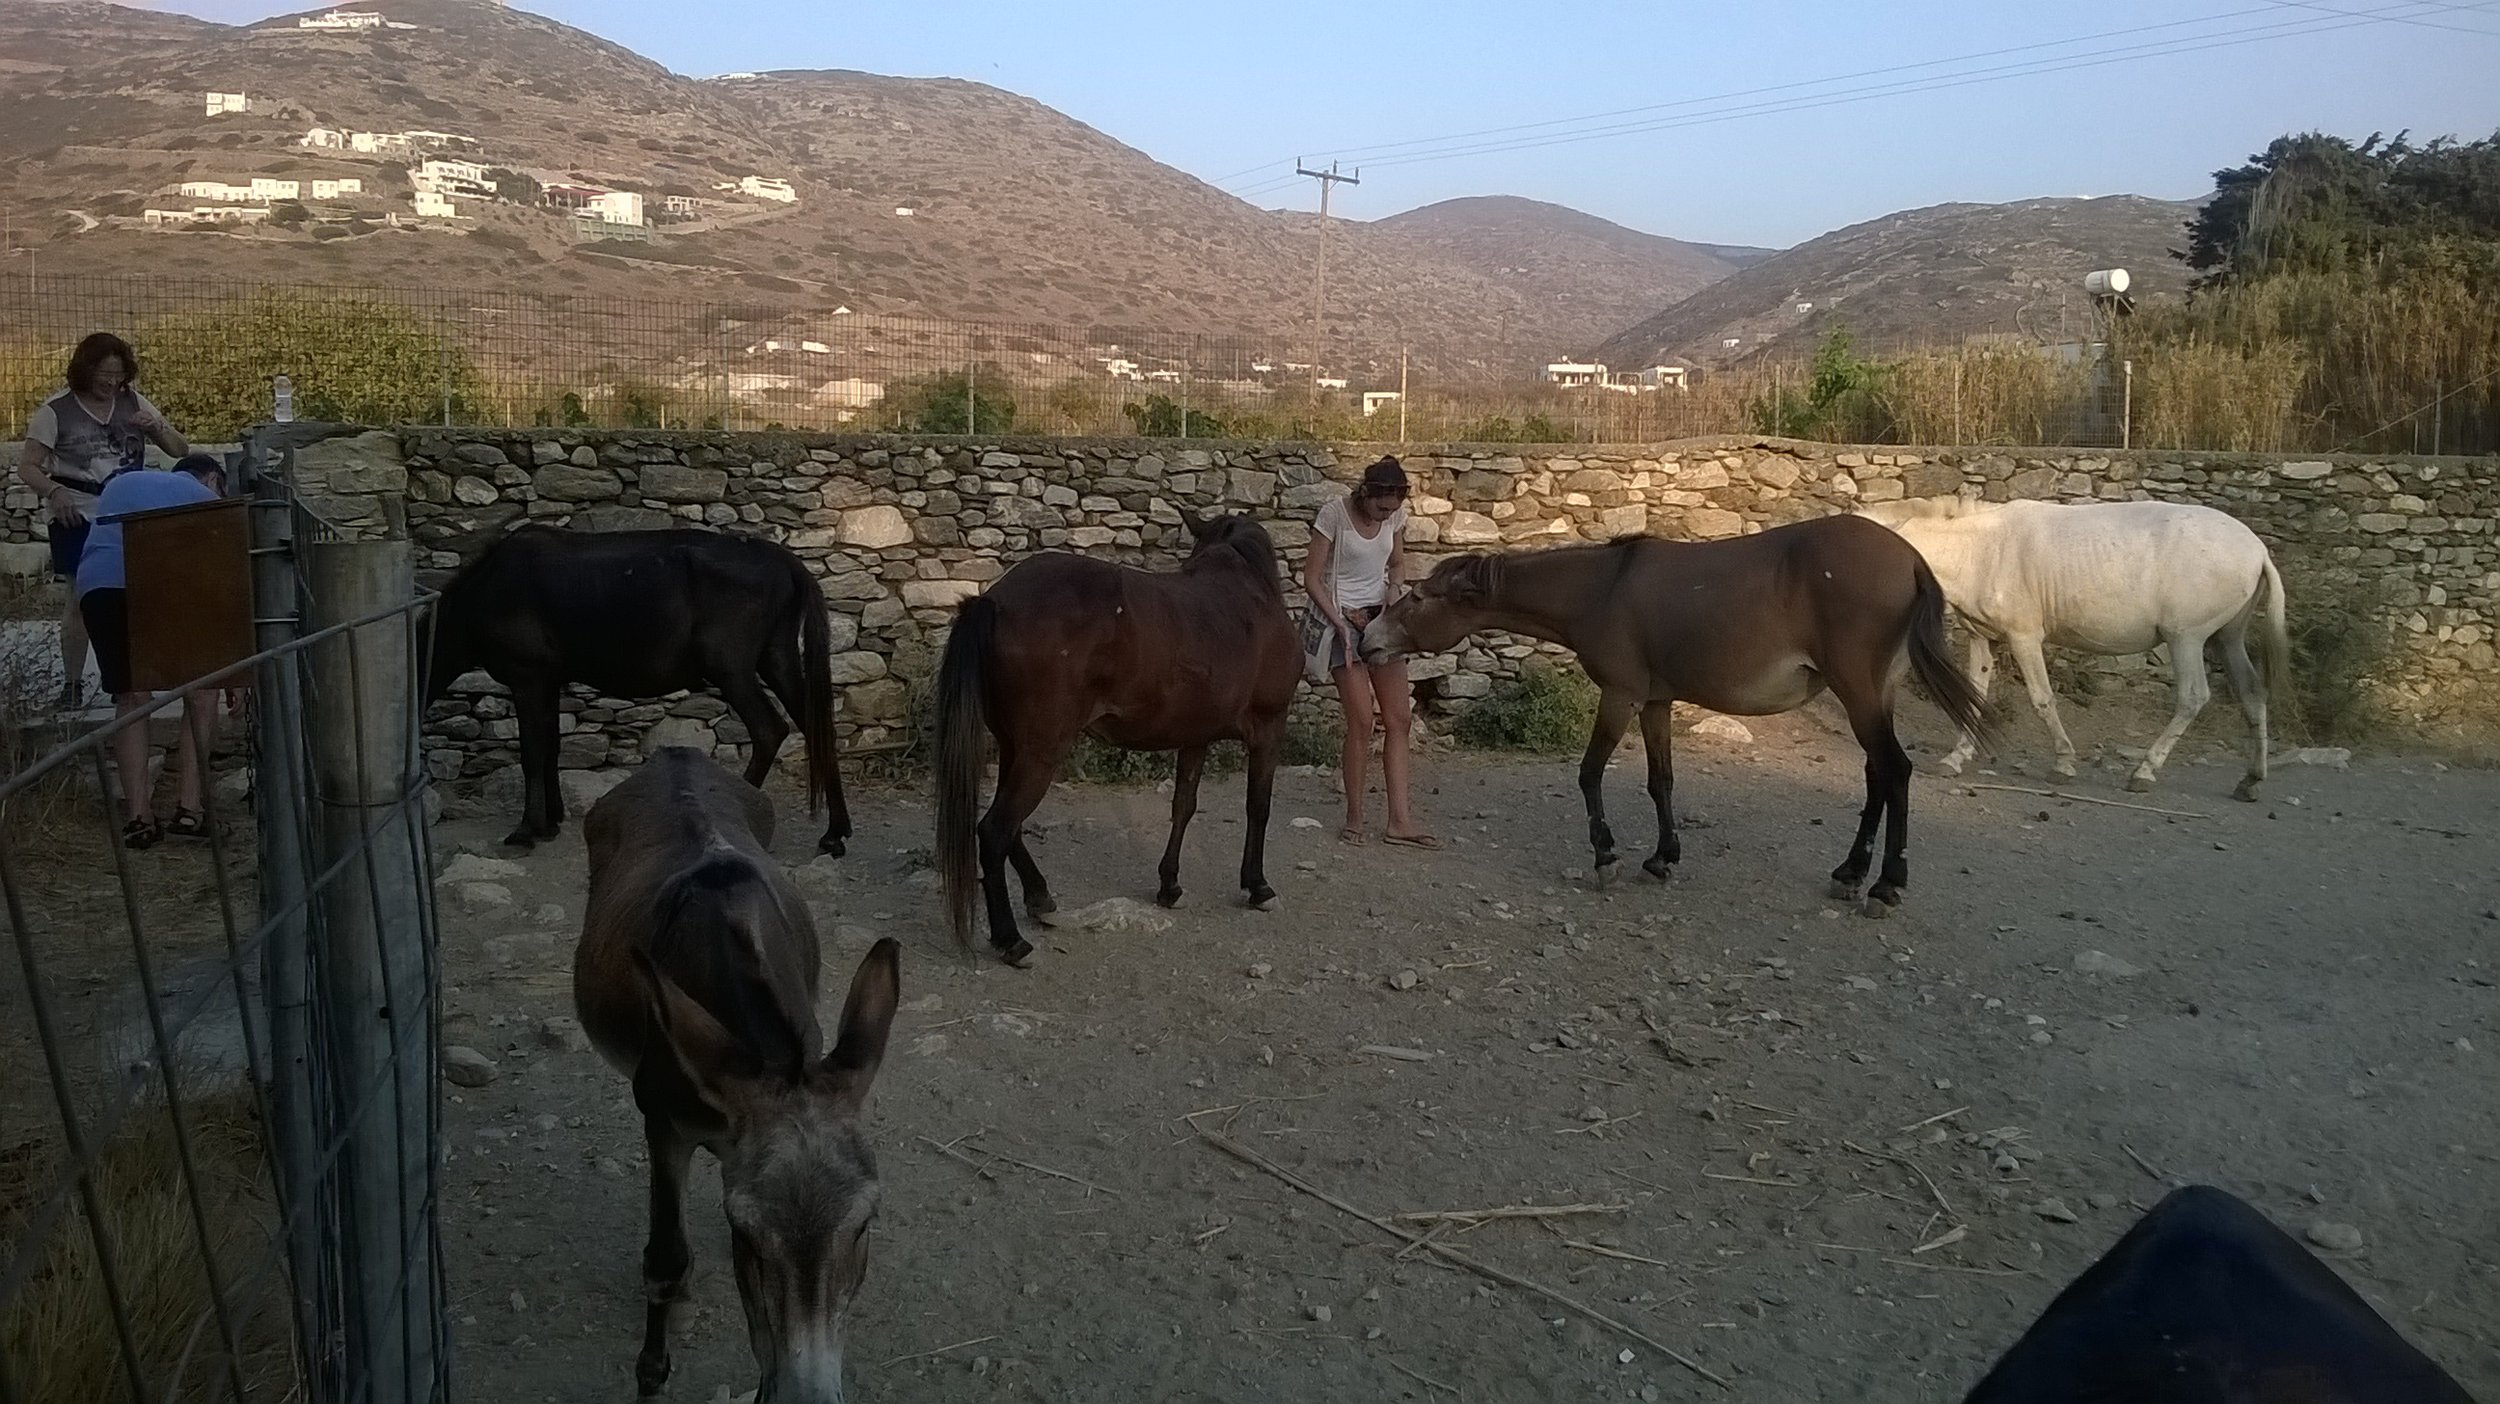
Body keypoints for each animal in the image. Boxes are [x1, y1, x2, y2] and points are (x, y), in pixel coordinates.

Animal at [425, 524, 855, 854]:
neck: (481, 593)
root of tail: (784, 560)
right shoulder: (547, 681)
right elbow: (550, 749)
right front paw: (550, 821)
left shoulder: (527, 678)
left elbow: (532, 753)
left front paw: (527, 830)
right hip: (777, 658)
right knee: (815, 728)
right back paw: (835, 832)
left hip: (731, 669)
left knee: (769, 730)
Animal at [572, 739, 900, 1389]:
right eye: (745, 1233)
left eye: (863, 1225)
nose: (809, 1396)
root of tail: (676, 752)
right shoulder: (664, 1123)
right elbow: (665, 1261)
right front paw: (652, 1368)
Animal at [930, 512, 1300, 959]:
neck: (1251, 593)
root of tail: (995, 602)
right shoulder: (1269, 727)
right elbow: (1258, 807)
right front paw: (1258, 886)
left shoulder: (1195, 735)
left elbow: (1184, 805)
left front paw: (1170, 885)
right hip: (1041, 752)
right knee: (995, 831)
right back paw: (1011, 940)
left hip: (1014, 748)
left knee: (1010, 828)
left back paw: (1040, 897)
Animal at [1360, 519, 2000, 914]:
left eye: (1419, 598)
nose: (1368, 639)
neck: (1603, 589)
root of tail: (1911, 559)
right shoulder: (1655, 701)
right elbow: (1660, 780)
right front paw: (1661, 857)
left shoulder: (1619, 695)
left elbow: (1589, 774)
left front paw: (1606, 856)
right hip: (1871, 696)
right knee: (1876, 776)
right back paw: (1851, 871)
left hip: (1860, 693)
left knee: (1895, 772)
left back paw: (1886, 884)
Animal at [1850, 494, 2290, 799]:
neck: (1982, 550)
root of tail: (2258, 550)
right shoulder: (1981, 636)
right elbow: (1974, 697)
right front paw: (1955, 759)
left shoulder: (2024, 637)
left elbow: (2042, 700)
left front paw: (2063, 763)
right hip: (2227, 638)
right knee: (2253, 694)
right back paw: (2251, 780)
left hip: (2187, 639)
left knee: (2193, 698)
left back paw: (2144, 771)